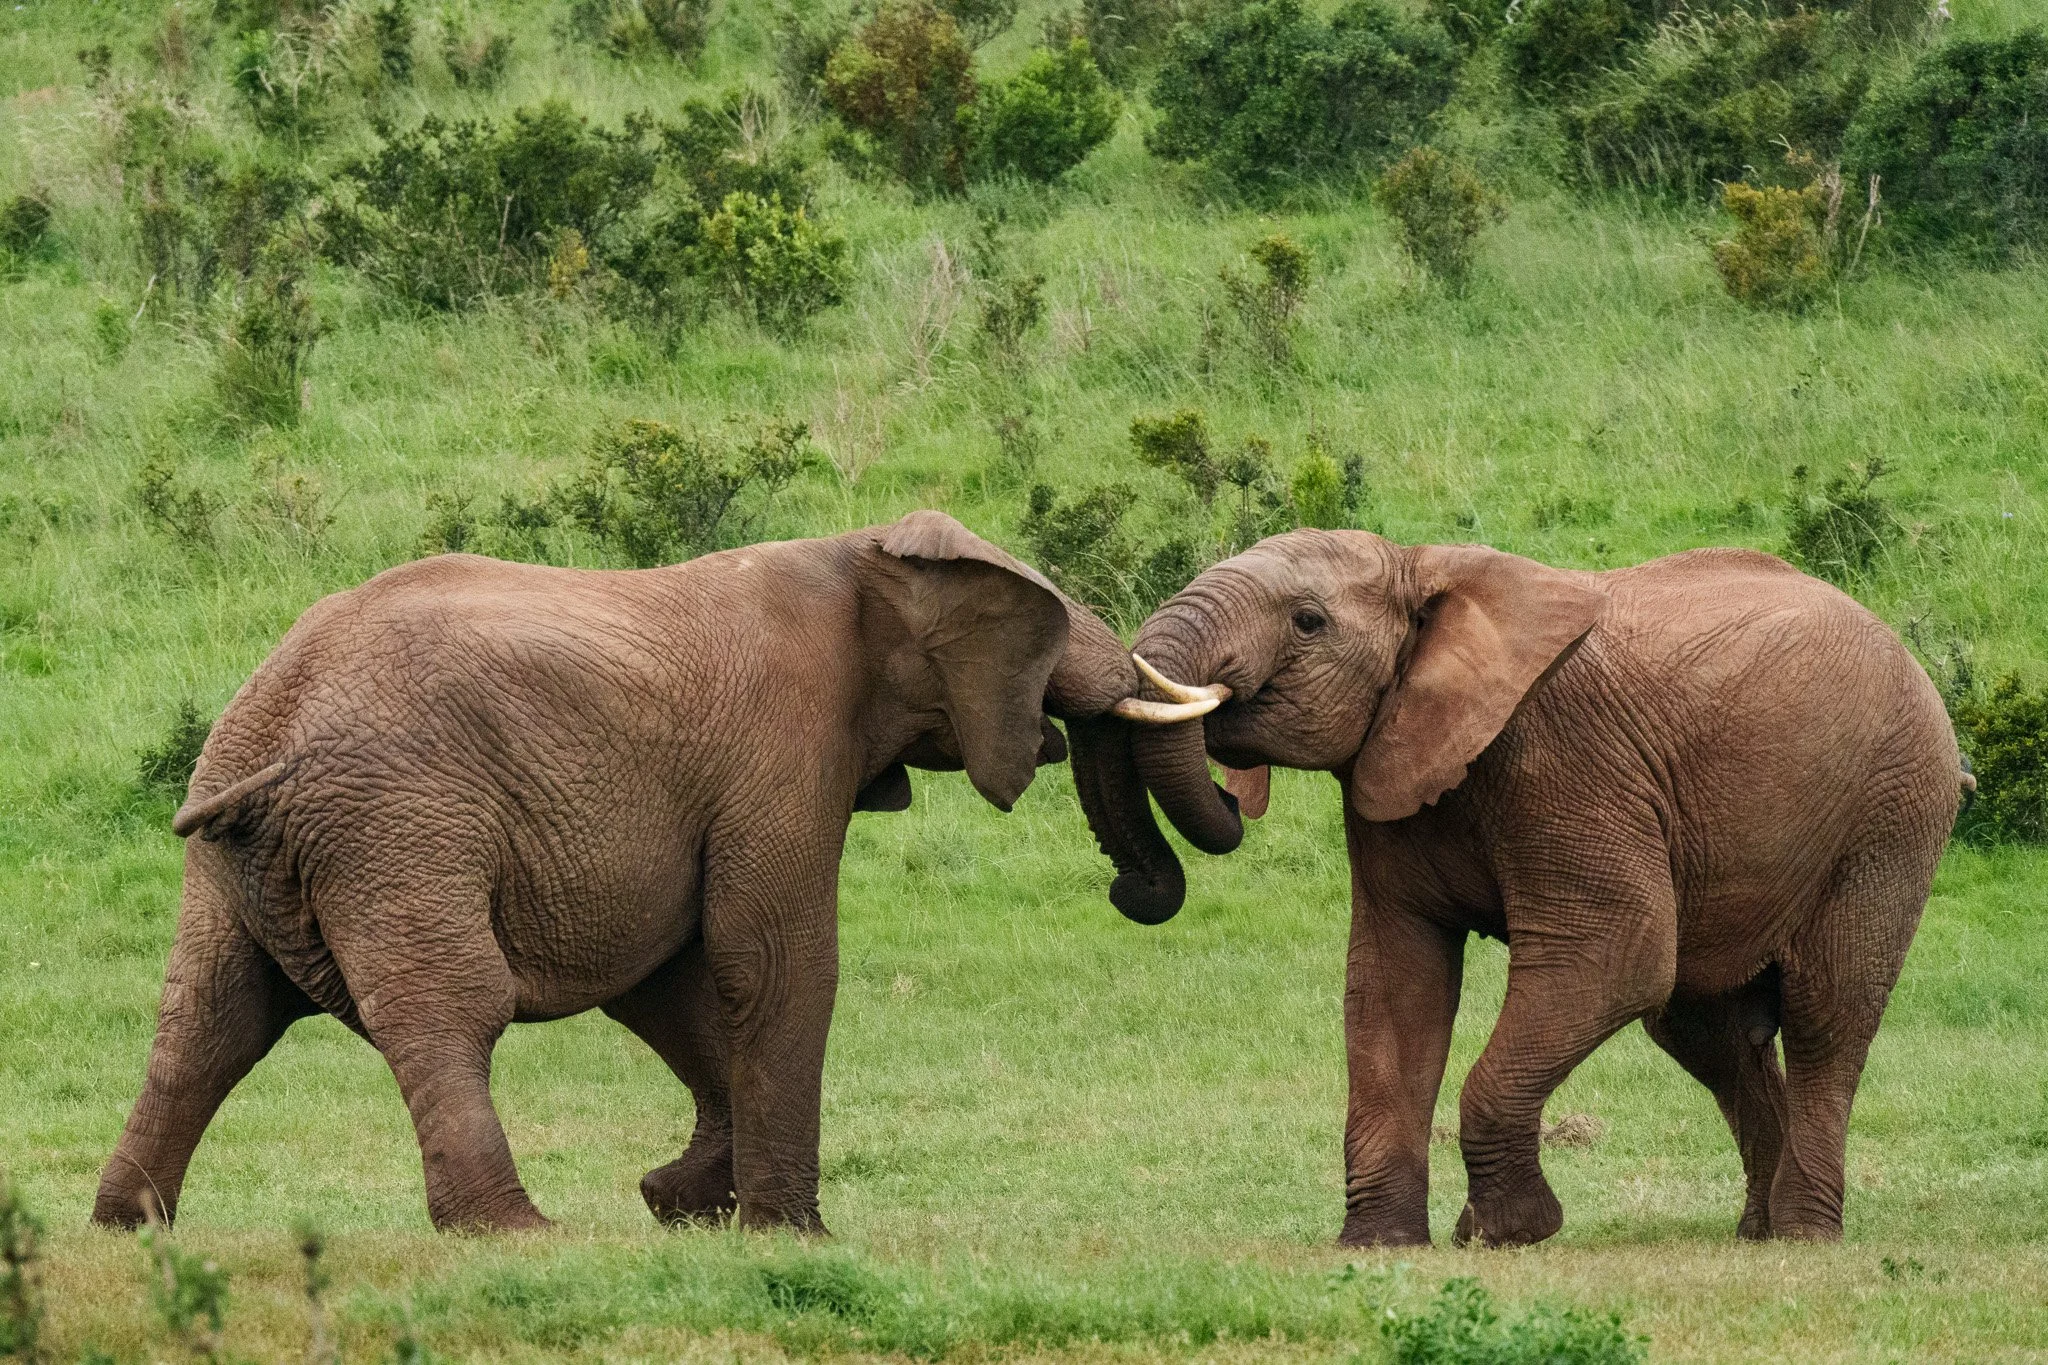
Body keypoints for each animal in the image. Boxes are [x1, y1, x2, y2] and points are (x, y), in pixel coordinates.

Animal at [93, 510, 1162, 1235]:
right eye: (1054, 627)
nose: (1137, 889)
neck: (860, 550)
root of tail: (266, 728)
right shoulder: (786, 744)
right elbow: (773, 961)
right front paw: (792, 1236)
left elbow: (667, 981)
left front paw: (679, 1203)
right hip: (398, 823)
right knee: (451, 1002)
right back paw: (515, 1233)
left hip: (244, 857)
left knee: (211, 1020)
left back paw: (127, 1225)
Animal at [1075, 530, 1966, 1248]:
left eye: (1307, 622)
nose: (1136, 888)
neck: (1424, 569)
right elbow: (1394, 985)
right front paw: (1378, 1243)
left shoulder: (1566, 763)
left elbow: (1617, 956)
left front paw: (1505, 1232)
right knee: (1704, 1030)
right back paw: (1758, 1233)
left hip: (1893, 810)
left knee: (1825, 1016)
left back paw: (1806, 1236)